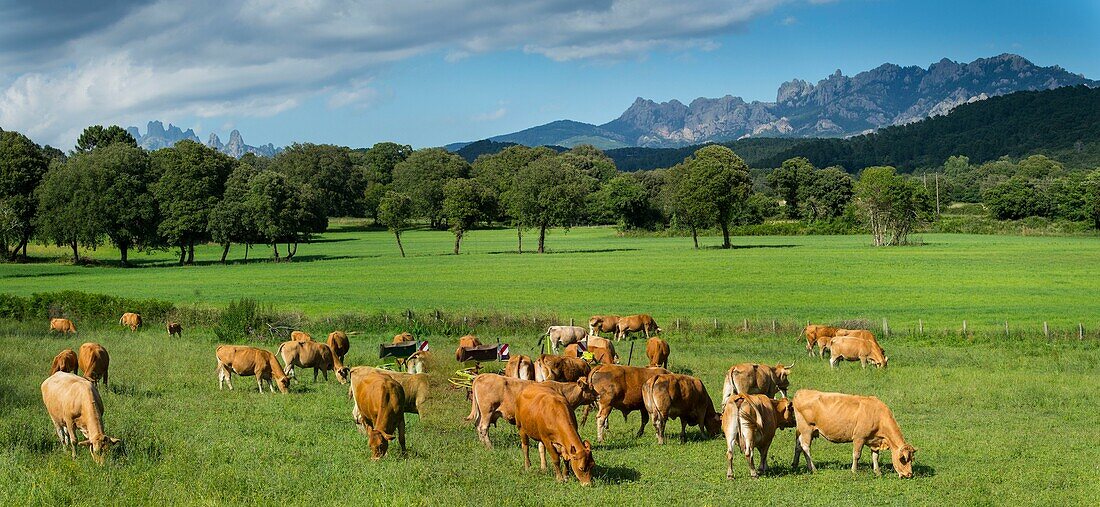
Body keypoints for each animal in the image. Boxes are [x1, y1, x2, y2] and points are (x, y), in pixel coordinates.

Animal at [466, 371, 598, 446]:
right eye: (591, 388)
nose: (598, 395)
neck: (561, 390)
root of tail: (482, 376)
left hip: (481, 413)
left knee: (477, 425)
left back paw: (482, 444)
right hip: (487, 411)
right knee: (483, 427)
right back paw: (489, 446)